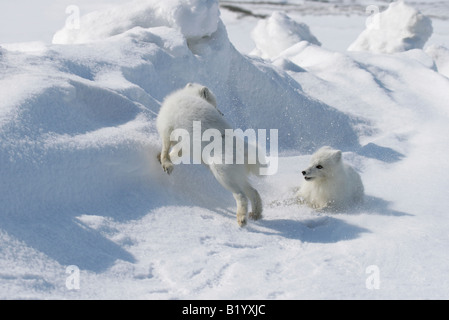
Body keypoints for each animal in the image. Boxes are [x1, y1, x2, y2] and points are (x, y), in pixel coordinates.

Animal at [157, 83, 262, 228]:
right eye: (215, 104)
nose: (222, 113)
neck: (188, 94)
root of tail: (242, 148)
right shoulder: (185, 144)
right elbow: (175, 152)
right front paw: (163, 160)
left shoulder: (168, 130)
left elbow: (166, 150)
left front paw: (166, 164)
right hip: (238, 177)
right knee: (254, 192)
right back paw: (256, 214)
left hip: (223, 175)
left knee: (241, 196)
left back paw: (241, 219)